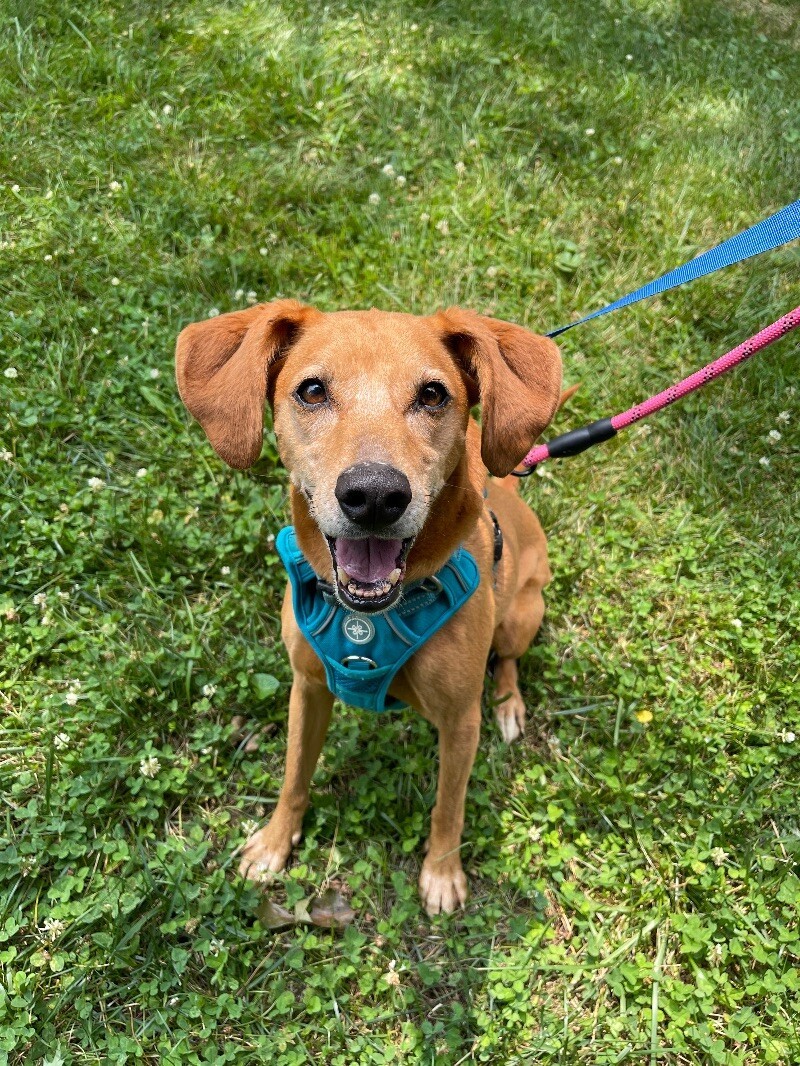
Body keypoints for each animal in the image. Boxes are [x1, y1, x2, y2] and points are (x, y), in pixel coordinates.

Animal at [174, 302, 563, 916]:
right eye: (312, 390)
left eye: (432, 394)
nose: (375, 496)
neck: (374, 614)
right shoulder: (307, 687)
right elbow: (294, 776)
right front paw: (275, 842)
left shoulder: (460, 722)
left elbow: (448, 807)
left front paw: (442, 873)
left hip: (522, 615)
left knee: (507, 661)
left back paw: (508, 703)